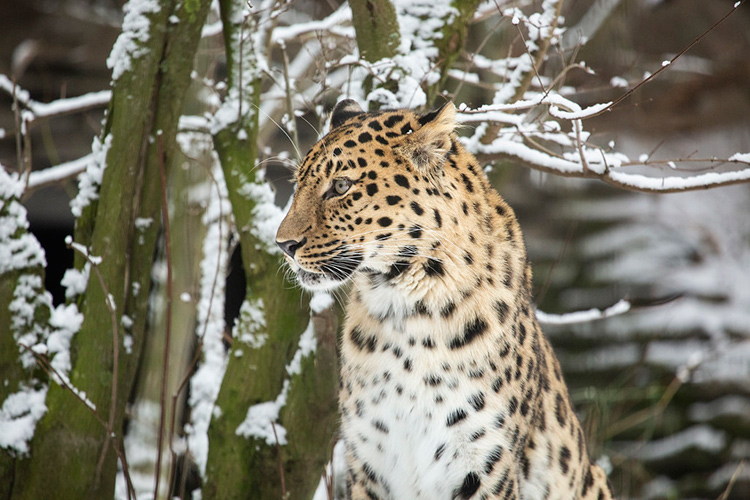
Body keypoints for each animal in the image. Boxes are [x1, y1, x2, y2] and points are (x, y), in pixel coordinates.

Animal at [276, 98, 616, 500]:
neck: (404, 305)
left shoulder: (484, 463)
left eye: (341, 186)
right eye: (297, 185)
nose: (283, 244)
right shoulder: (368, 462)